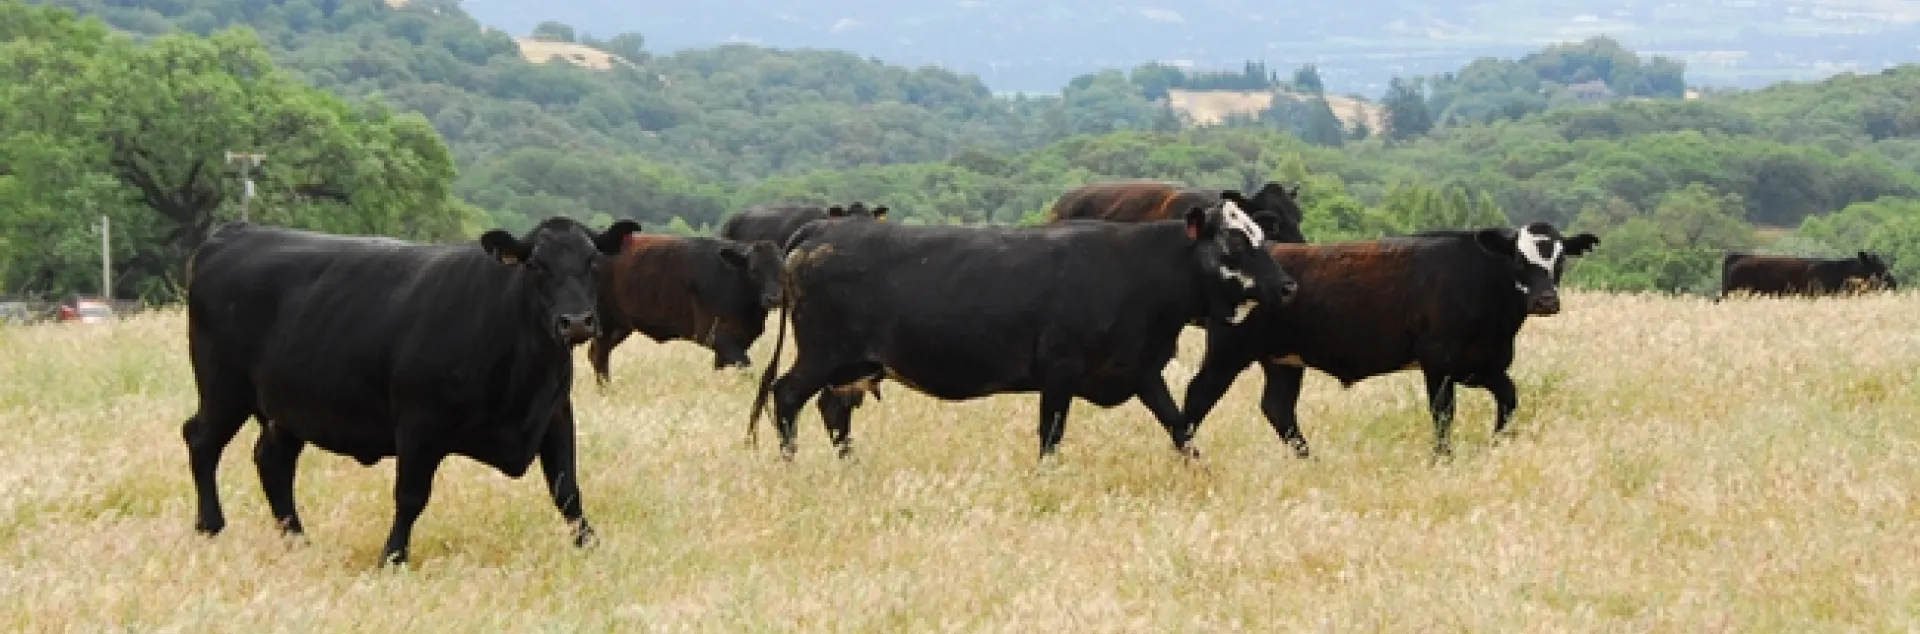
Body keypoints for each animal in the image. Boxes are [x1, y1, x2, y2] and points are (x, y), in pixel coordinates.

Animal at [179, 216, 639, 566]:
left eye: (593, 262)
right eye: (535, 266)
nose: (576, 322)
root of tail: (235, 232)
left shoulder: (556, 415)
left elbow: (568, 490)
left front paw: (591, 546)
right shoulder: (420, 424)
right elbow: (411, 495)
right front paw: (393, 557)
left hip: (287, 408)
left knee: (272, 460)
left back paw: (296, 539)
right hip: (223, 388)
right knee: (201, 439)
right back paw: (210, 526)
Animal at [587, 233, 784, 379]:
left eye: (782, 269)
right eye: (753, 270)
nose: (773, 298)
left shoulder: (738, 339)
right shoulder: (710, 333)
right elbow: (746, 366)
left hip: (621, 325)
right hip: (603, 322)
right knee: (599, 356)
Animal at [746, 198, 1300, 462]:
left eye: (1260, 235)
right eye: (1234, 243)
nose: (1288, 285)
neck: (1137, 271)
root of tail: (824, 229)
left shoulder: (1141, 369)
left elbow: (1179, 425)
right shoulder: (1060, 371)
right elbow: (1050, 435)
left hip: (853, 364)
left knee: (832, 408)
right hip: (822, 353)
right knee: (787, 395)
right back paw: (791, 462)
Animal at [1177, 222, 1601, 459]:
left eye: (1561, 259)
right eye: (1518, 259)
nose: (1546, 301)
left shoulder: (1484, 365)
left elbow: (1510, 399)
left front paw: (1497, 443)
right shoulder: (1439, 363)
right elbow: (1443, 415)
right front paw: (1442, 459)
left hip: (1283, 362)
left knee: (1278, 409)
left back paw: (1310, 460)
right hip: (1227, 354)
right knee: (1197, 397)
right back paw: (1186, 455)